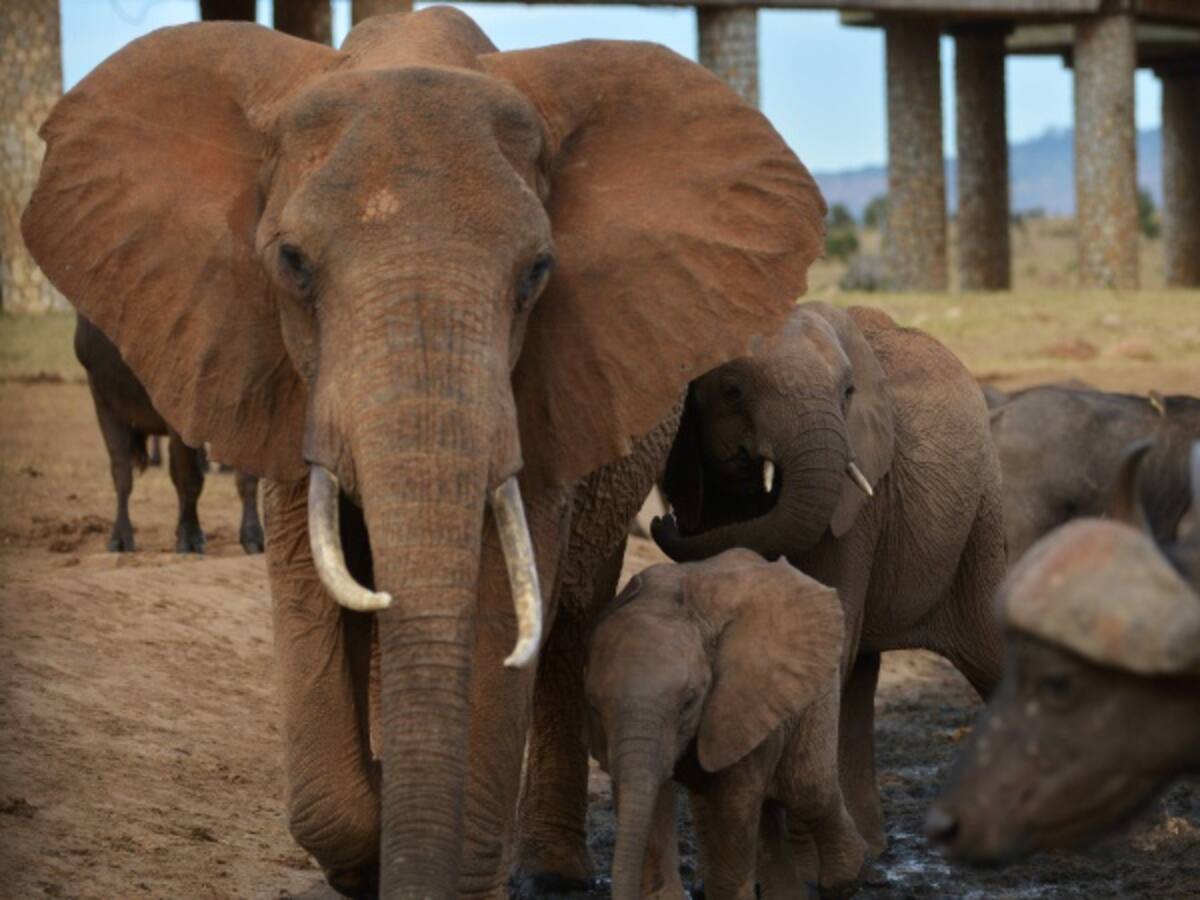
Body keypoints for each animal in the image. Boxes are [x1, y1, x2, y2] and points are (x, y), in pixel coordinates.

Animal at [74, 313, 264, 554]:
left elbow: (247, 479)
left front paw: (252, 536)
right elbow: (189, 479)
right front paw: (189, 539)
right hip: (106, 404)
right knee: (124, 474)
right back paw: (122, 538)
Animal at [584, 549, 866, 900]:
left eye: (690, 701)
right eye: (594, 707)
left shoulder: (740, 698)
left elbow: (735, 803)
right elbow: (650, 798)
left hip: (817, 688)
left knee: (807, 789)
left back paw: (844, 879)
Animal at [651, 302, 1007, 853]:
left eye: (847, 392)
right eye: (731, 390)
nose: (660, 522)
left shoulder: (859, 501)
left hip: (981, 517)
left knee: (990, 656)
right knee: (860, 672)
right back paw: (872, 849)